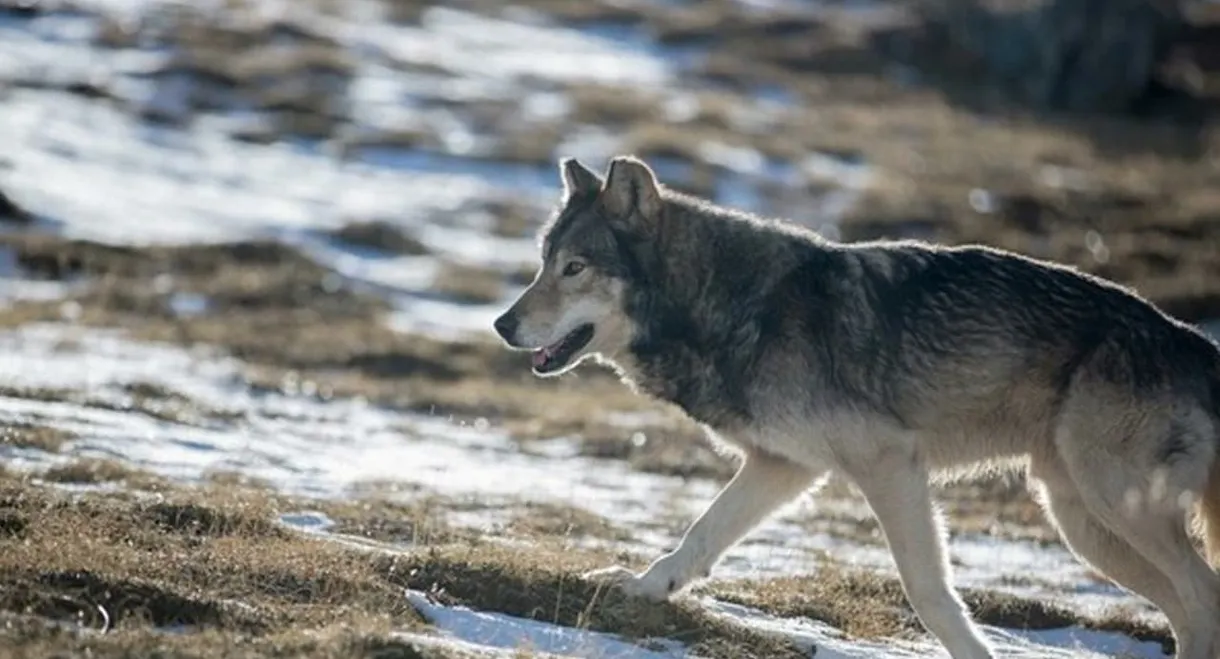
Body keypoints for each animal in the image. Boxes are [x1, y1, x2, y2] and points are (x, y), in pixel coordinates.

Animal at [488, 155, 1220, 659]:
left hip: (1113, 507)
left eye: (575, 268)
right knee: (1189, 610)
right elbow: (698, 537)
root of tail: (1198, 345)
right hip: (1084, 522)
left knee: (1202, 597)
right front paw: (638, 585)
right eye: (543, 261)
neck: (734, 306)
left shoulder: (889, 463)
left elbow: (929, 590)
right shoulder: (782, 466)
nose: (501, 324)